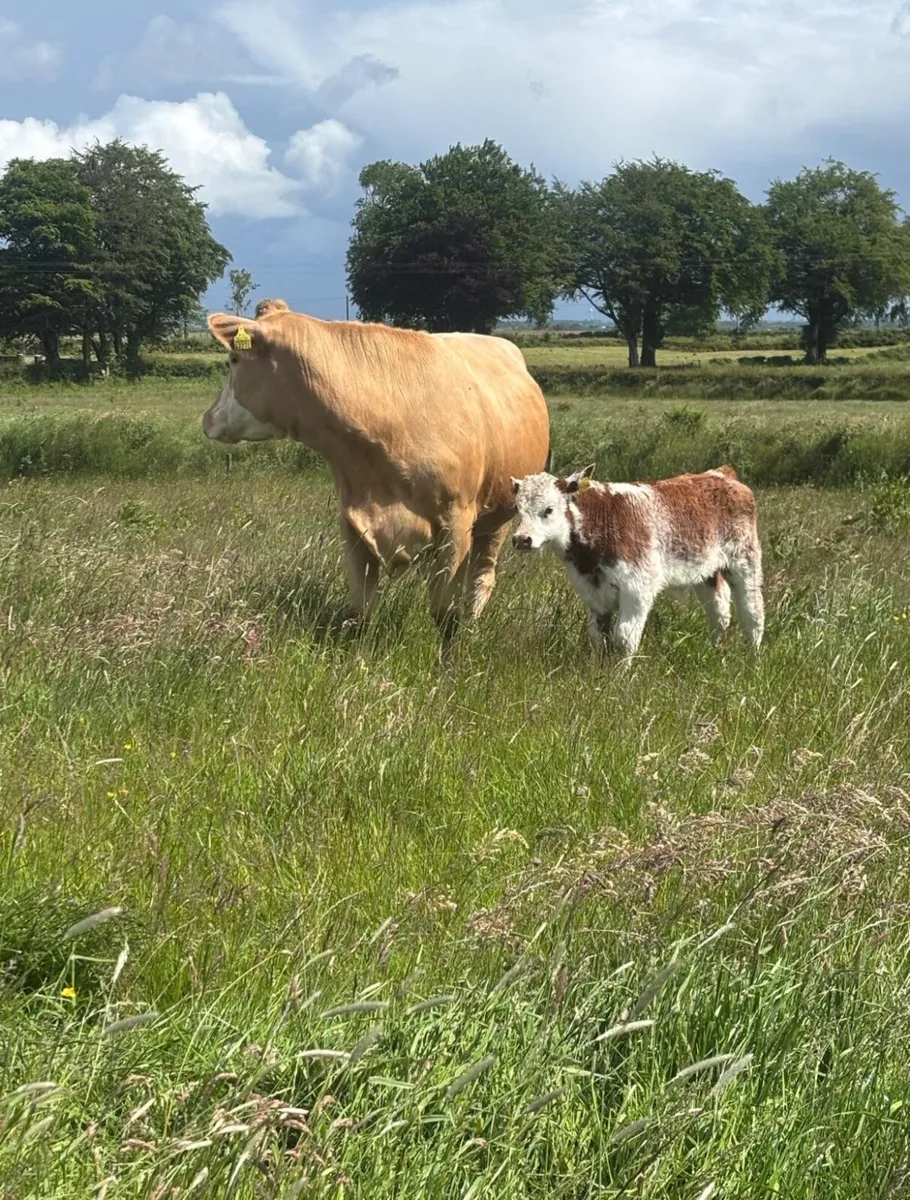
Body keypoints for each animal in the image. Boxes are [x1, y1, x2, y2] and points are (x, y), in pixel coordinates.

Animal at [202, 305, 550, 643]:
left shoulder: (455, 523)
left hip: (496, 519)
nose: (207, 418)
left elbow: (446, 616)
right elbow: (363, 610)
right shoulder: (353, 522)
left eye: (233, 360)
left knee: (481, 579)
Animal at [510, 464, 764, 659]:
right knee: (719, 613)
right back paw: (717, 652)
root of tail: (721, 474)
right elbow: (598, 637)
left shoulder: (637, 589)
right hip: (707, 573)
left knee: (752, 612)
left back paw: (752, 660)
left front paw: (621, 679)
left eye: (549, 510)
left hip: (746, 563)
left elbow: (624, 638)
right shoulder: (592, 594)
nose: (521, 539)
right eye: (518, 510)